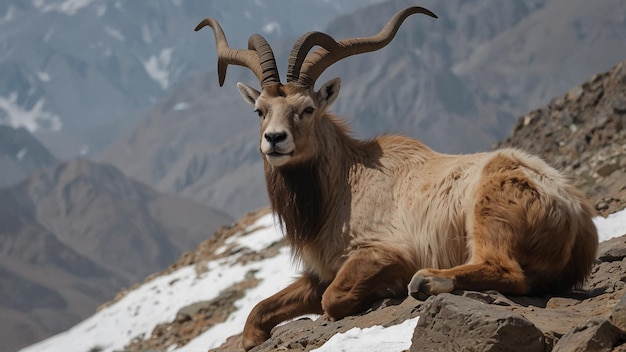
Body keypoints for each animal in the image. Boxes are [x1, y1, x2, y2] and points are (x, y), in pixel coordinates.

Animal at [194, 5, 596, 350]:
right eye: (260, 110)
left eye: (307, 108)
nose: (275, 140)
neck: (345, 182)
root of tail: (576, 213)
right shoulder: (322, 272)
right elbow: (258, 312)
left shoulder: (382, 252)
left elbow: (332, 299)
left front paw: (388, 288)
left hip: (488, 212)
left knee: (507, 271)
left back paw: (427, 281)